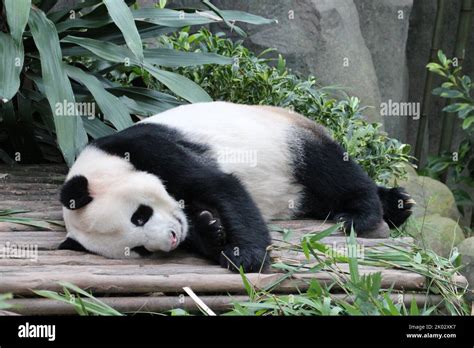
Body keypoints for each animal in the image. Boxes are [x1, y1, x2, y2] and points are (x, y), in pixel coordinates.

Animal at [60, 100, 414, 272]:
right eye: (139, 249)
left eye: (139, 216)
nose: (171, 239)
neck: (103, 161)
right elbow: (200, 220)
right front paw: (210, 230)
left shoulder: (147, 148)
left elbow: (220, 185)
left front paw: (245, 257)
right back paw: (398, 205)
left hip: (288, 141)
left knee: (330, 172)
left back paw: (363, 212)